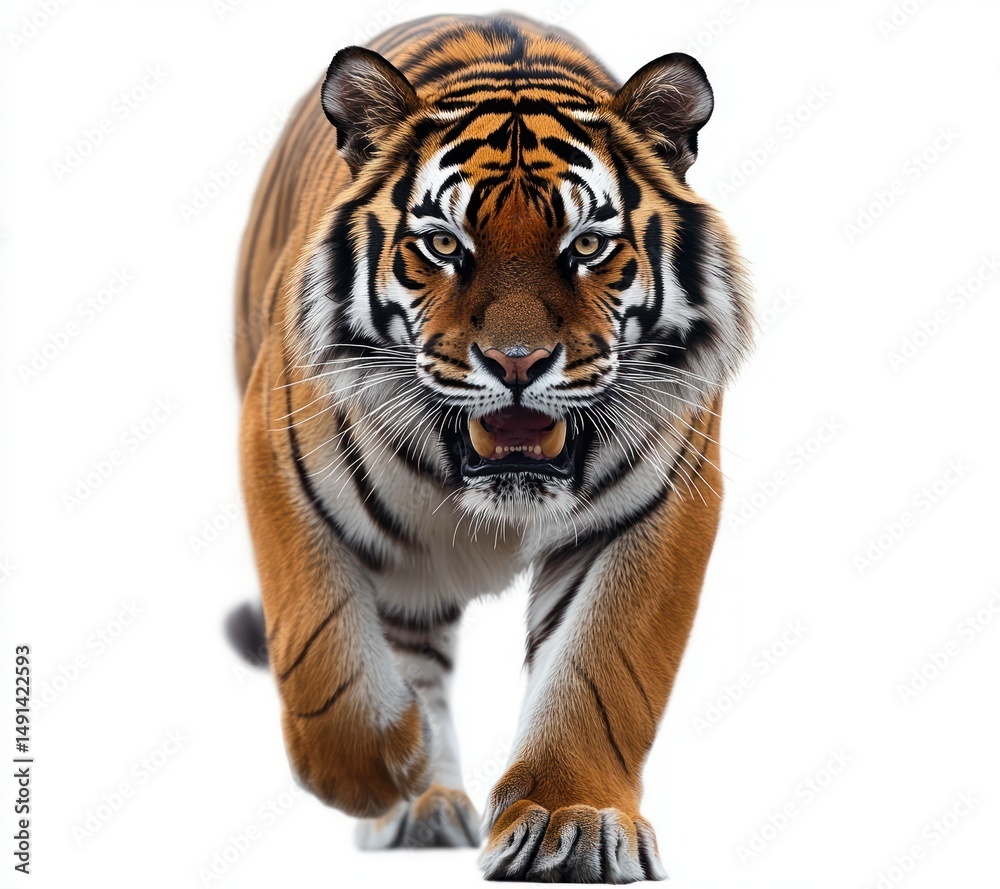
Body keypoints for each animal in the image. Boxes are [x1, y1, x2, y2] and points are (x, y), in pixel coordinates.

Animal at [231, 12, 752, 883]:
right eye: (444, 245)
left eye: (586, 245)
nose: (516, 362)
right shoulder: (276, 457)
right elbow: (320, 641)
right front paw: (384, 766)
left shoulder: (660, 503)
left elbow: (603, 669)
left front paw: (571, 819)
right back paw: (419, 794)